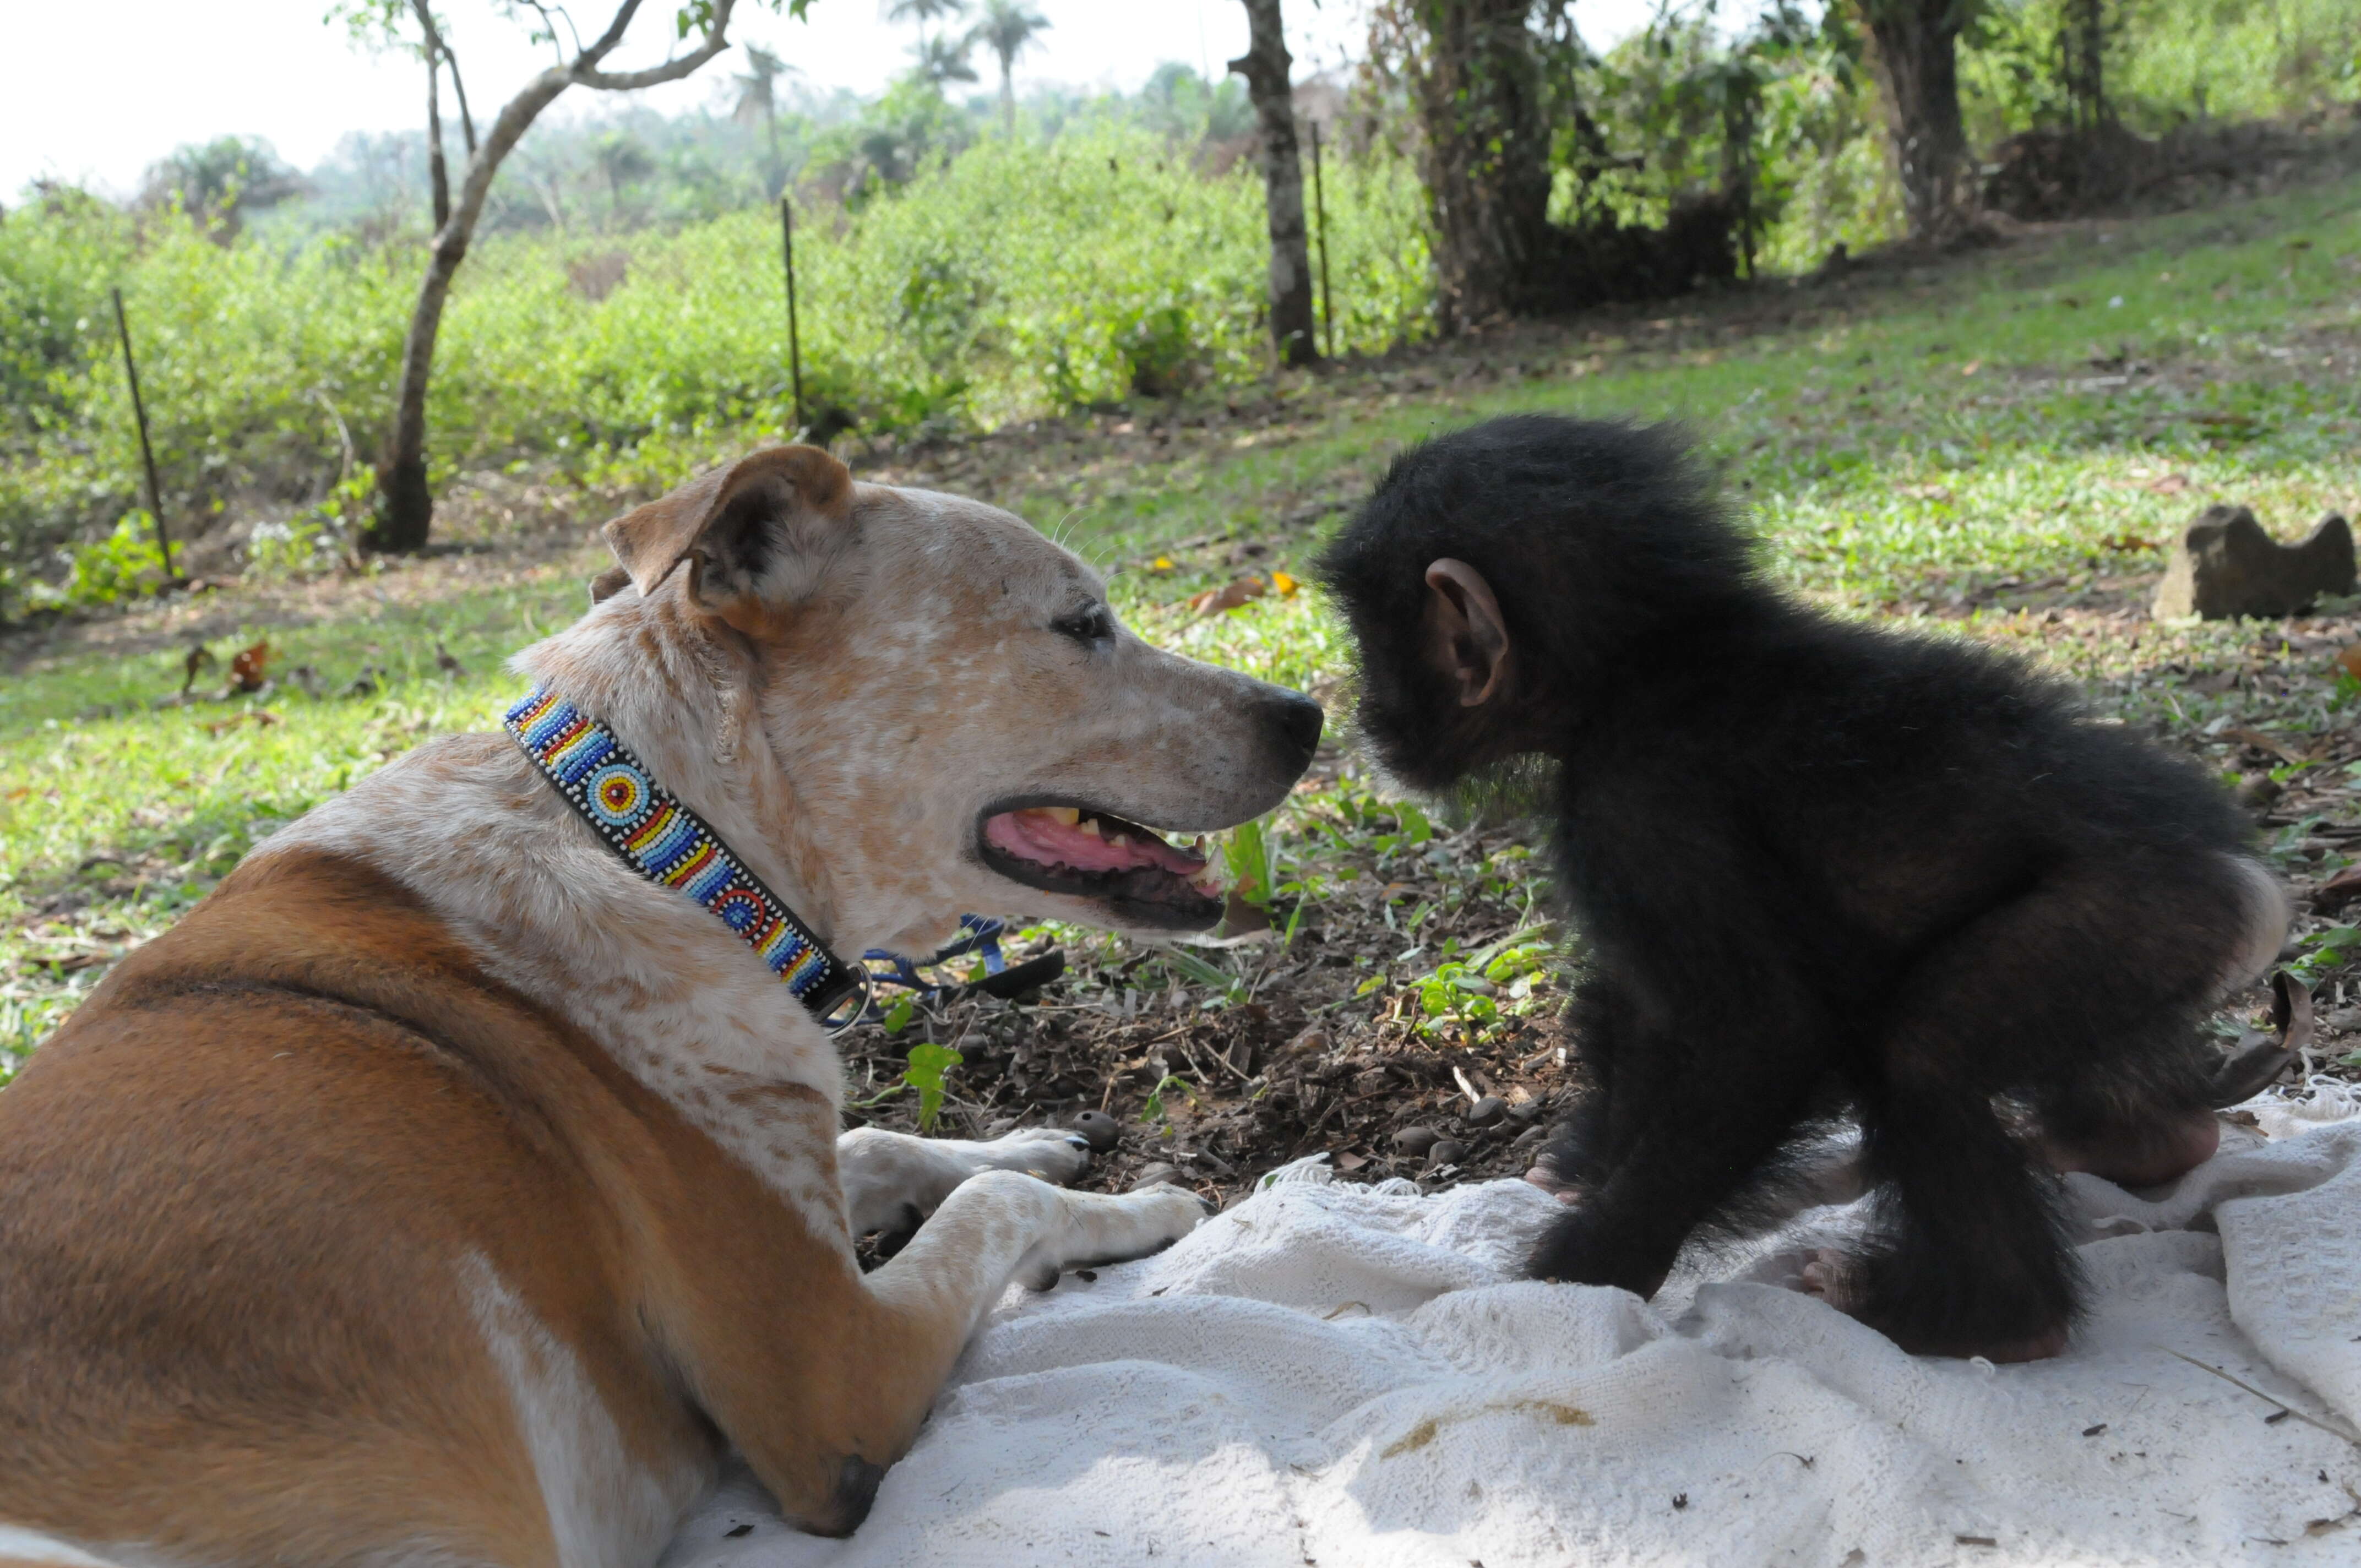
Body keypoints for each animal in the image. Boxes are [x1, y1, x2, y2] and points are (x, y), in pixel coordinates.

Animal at [0, 444, 1331, 1567]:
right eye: (1079, 622)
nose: (1310, 712)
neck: (660, 845)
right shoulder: (830, 1380)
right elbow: (998, 1207)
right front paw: (1137, 1205)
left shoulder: (772, 1147)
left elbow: (883, 1140)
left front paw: (1028, 1138)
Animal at [1313, 415, 2285, 1360]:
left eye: (1371, 638)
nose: (1360, 706)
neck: (1637, 665)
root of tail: (2256, 895)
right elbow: (1652, 1009)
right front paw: (1582, 1171)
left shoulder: (1635, 802)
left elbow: (1755, 1034)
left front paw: (1573, 1280)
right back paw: (2147, 1140)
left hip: (2138, 924)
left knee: (1925, 1050)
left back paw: (1988, 1318)